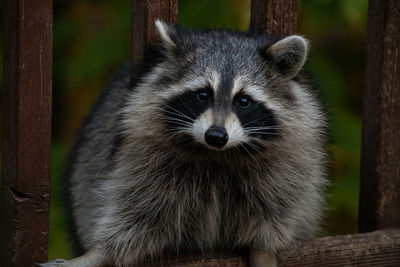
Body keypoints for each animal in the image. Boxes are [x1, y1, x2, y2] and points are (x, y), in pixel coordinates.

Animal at [41, 21, 328, 267]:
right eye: (202, 95)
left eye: (244, 101)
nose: (216, 135)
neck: (218, 154)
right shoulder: (145, 153)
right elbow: (137, 210)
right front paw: (101, 252)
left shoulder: (288, 158)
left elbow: (275, 209)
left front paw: (263, 249)